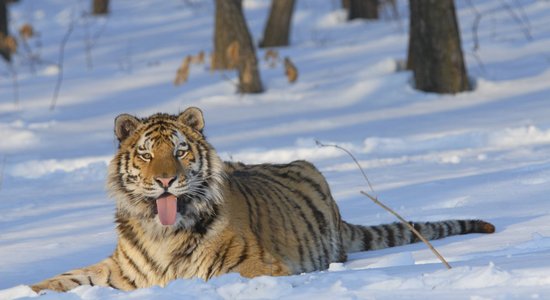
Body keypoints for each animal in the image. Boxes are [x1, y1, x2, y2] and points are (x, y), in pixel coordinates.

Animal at [29, 108, 496, 292]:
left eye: (179, 151)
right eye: (145, 153)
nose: (164, 180)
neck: (162, 233)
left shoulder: (257, 267)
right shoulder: (120, 271)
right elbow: (65, 278)